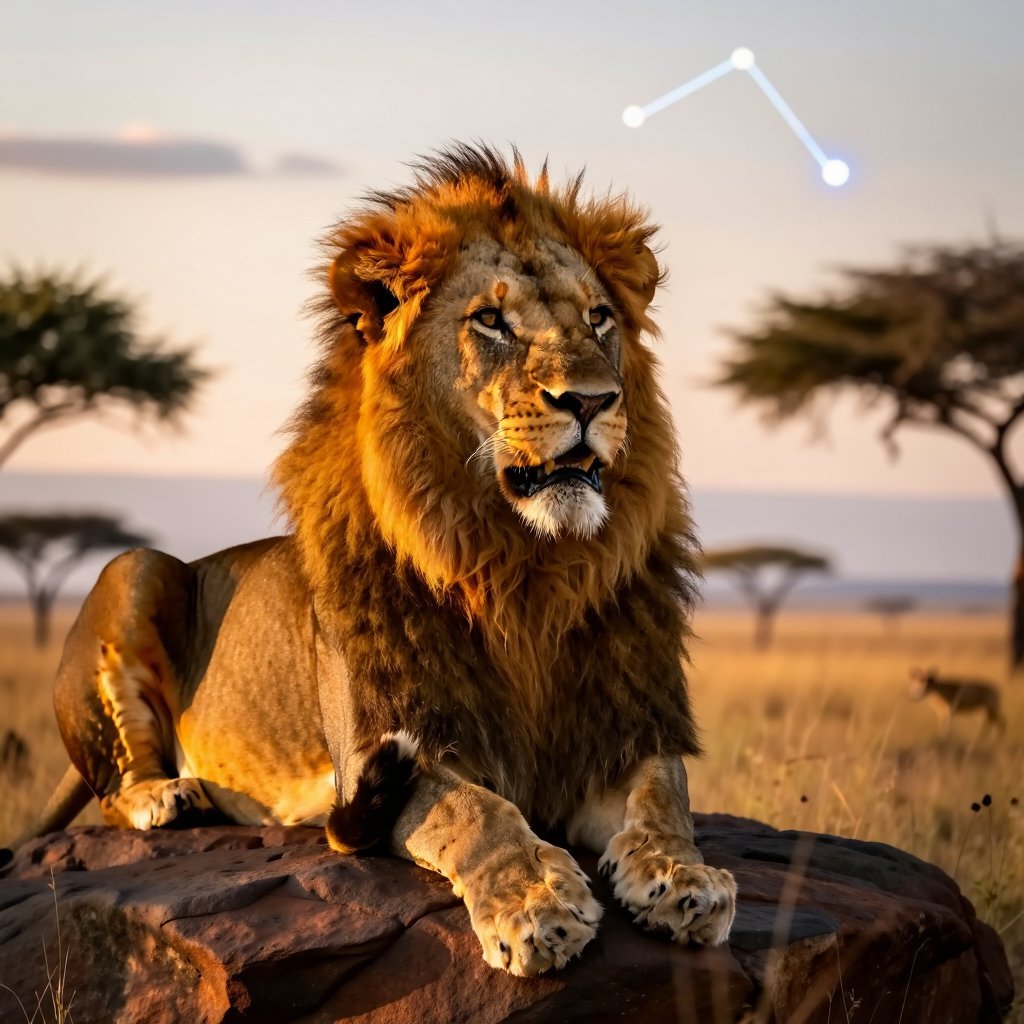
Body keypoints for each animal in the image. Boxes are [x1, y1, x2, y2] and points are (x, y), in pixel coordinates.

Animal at [6, 144, 736, 976]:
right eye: (491, 321)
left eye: (599, 319)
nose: (590, 400)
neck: (521, 567)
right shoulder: (382, 747)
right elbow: (476, 811)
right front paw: (534, 904)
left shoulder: (616, 724)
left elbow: (663, 794)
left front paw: (682, 877)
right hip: (135, 568)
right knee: (109, 788)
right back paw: (167, 796)